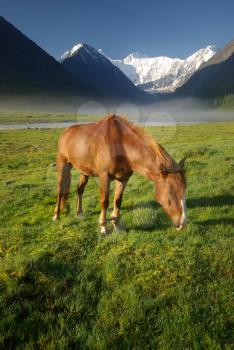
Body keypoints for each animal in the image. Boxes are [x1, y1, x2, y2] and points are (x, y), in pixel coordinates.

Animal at [53, 115, 186, 234]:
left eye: (184, 190)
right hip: (62, 165)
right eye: (171, 191)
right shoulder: (104, 176)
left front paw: (116, 226)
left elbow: (118, 200)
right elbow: (105, 201)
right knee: (60, 191)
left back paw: (79, 213)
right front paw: (103, 227)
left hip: (84, 172)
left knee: (80, 189)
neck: (121, 145)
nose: (182, 223)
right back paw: (56, 215)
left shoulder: (123, 178)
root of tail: (66, 132)